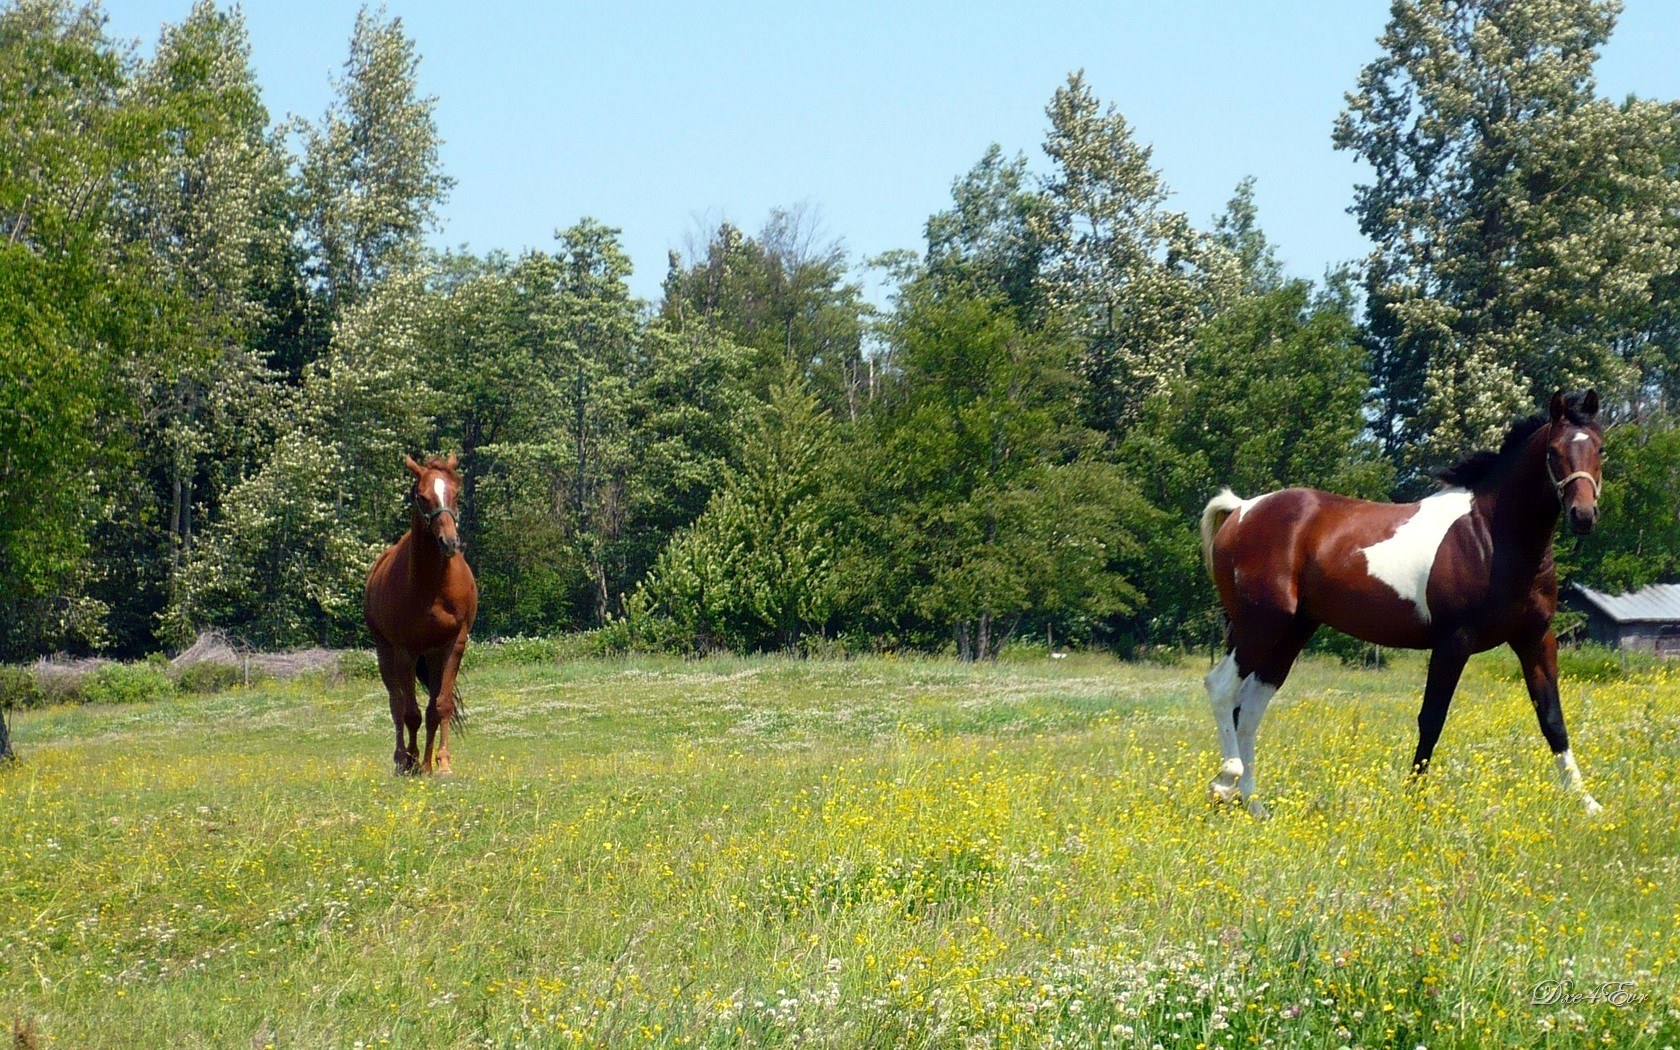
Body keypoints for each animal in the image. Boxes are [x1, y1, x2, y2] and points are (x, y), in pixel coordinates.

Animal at [364, 454, 478, 775]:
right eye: (422, 496)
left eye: (456, 493)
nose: (449, 542)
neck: (432, 585)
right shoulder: (406, 651)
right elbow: (410, 712)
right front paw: (412, 760)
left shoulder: (453, 646)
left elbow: (440, 706)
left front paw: (440, 763)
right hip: (386, 652)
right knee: (396, 705)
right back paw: (402, 758)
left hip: (433, 656)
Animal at [1199, 390, 1605, 818]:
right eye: (1554, 452)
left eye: (1600, 448)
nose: (1583, 515)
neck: (1491, 536)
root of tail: (1242, 509)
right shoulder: (1453, 642)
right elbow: (1432, 719)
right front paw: (1413, 799)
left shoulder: (1536, 639)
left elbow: (1552, 718)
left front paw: (1588, 803)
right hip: (1261, 626)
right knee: (1222, 688)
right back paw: (1225, 782)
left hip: (1290, 633)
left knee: (1250, 708)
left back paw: (1254, 805)